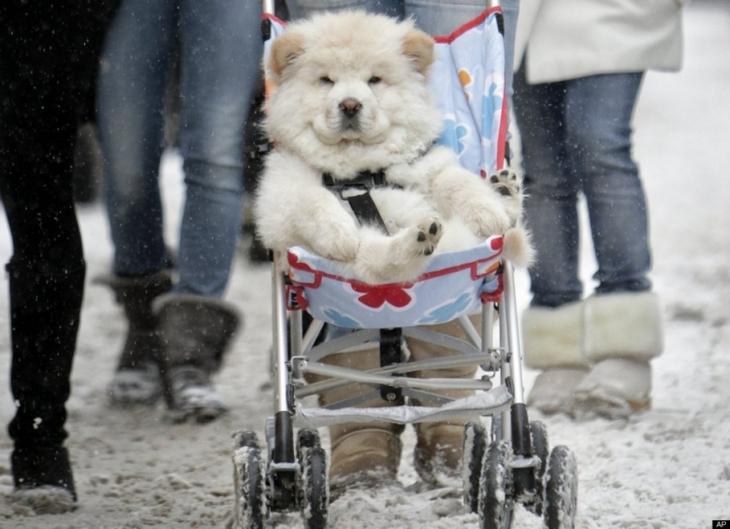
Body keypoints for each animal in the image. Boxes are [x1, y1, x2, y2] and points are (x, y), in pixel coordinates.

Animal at [253, 10, 528, 282]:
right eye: (326, 81)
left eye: (374, 80)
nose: (350, 104)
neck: (359, 169)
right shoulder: (279, 198)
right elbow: (312, 199)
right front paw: (340, 236)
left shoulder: (425, 165)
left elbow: (455, 181)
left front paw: (488, 213)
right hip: (355, 262)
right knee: (382, 262)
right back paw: (419, 238)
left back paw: (504, 191)